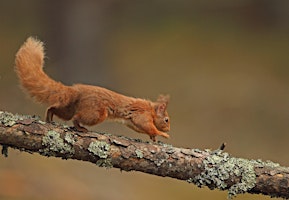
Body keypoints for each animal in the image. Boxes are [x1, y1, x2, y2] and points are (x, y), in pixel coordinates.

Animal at [15, 36, 169, 141]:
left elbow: (141, 128)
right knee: (76, 118)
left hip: (68, 108)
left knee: (54, 109)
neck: (151, 109)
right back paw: (80, 127)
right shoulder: (141, 114)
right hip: (96, 113)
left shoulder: (131, 122)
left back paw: (49, 118)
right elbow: (145, 124)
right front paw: (162, 134)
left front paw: (153, 137)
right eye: (167, 120)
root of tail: (76, 90)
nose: (169, 128)